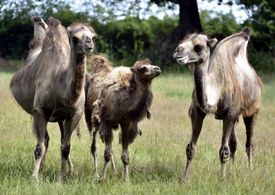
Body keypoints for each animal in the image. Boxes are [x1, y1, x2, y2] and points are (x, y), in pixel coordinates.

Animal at [9, 17, 97, 181]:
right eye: (74, 38)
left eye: (93, 37)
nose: (89, 44)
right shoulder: (39, 110)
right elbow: (39, 147)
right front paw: (34, 178)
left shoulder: (74, 114)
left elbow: (66, 147)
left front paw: (62, 176)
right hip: (36, 113)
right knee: (45, 140)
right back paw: (42, 168)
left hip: (61, 118)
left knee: (60, 141)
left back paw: (71, 171)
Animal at [174, 27, 264, 181]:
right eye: (181, 42)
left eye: (199, 47)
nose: (178, 52)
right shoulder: (197, 112)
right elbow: (190, 148)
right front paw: (184, 179)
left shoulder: (229, 113)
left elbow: (224, 150)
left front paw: (221, 179)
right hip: (235, 116)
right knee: (234, 143)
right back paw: (231, 169)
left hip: (252, 110)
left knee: (249, 143)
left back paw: (249, 169)